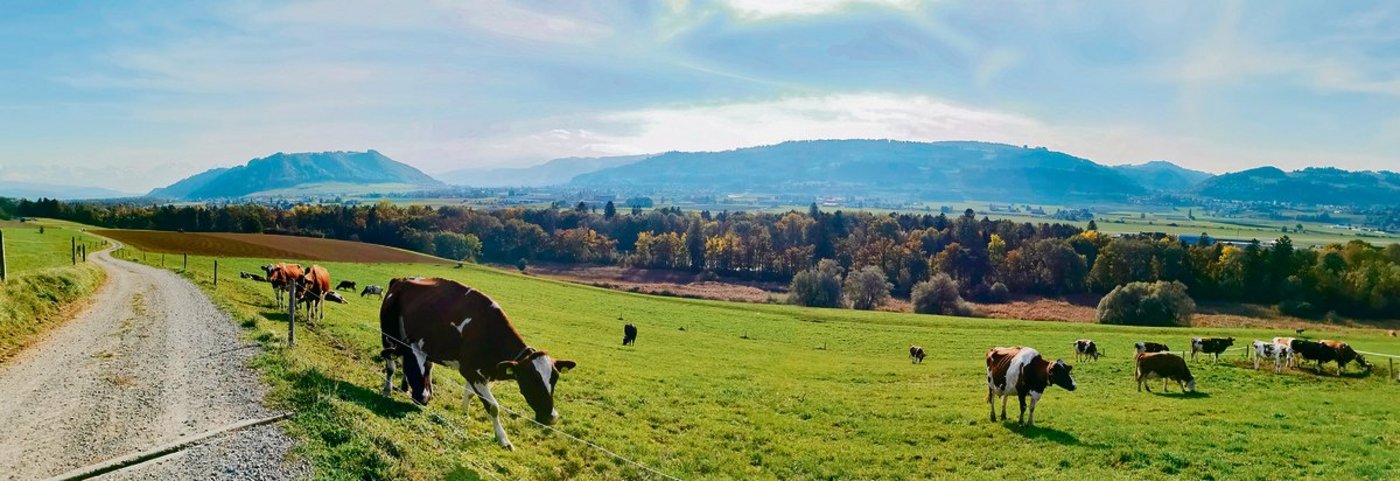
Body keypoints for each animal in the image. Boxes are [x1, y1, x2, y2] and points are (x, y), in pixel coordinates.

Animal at [379, 277, 575, 450]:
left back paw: (409, 387)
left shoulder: (483, 371)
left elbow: (471, 393)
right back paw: (388, 389)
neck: (487, 331)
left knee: (414, 362)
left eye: (555, 379)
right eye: (531, 380)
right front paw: (503, 439)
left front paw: (464, 413)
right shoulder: (470, 370)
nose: (552, 417)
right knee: (391, 364)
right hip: (387, 335)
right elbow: (493, 407)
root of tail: (401, 280)